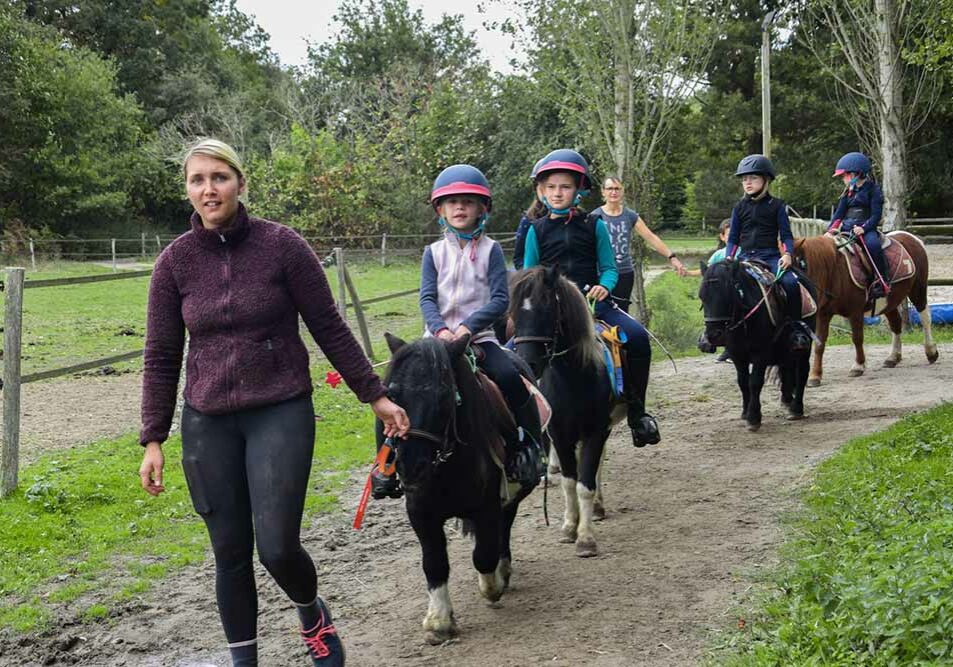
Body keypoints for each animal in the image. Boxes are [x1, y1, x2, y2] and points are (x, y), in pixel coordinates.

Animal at [384, 334, 540, 648]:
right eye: (392, 395)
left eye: (444, 395)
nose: (410, 467)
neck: (446, 465)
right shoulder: (420, 512)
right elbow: (434, 563)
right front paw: (439, 622)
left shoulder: (488, 506)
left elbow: (484, 555)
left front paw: (492, 587)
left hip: (511, 497)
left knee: (503, 531)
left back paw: (503, 572)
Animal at [506, 266, 624, 560]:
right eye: (513, 313)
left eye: (547, 309)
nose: (528, 361)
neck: (573, 378)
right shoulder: (560, 434)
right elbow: (570, 482)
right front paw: (571, 526)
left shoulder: (596, 431)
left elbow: (585, 483)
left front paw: (586, 538)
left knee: (596, 467)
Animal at [700, 258, 812, 430]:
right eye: (702, 296)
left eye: (727, 295)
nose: (713, 335)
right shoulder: (737, 354)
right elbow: (742, 382)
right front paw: (745, 412)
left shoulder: (760, 353)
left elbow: (755, 382)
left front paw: (754, 418)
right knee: (787, 369)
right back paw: (787, 400)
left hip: (805, 346)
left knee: (802, 372)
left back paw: (796, 409)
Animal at [788, 232, 936, 386]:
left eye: (800, 265)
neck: (835, 271)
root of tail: (912, 238)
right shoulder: (823, 314)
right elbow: (820, 343)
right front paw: (815, 376)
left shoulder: (855, 312)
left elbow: (857, 338)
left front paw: (858, 366)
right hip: (890, 302)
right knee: (896, 324)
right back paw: (893, 357)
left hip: (918, 290)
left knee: (925, 318)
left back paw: (931, 352)